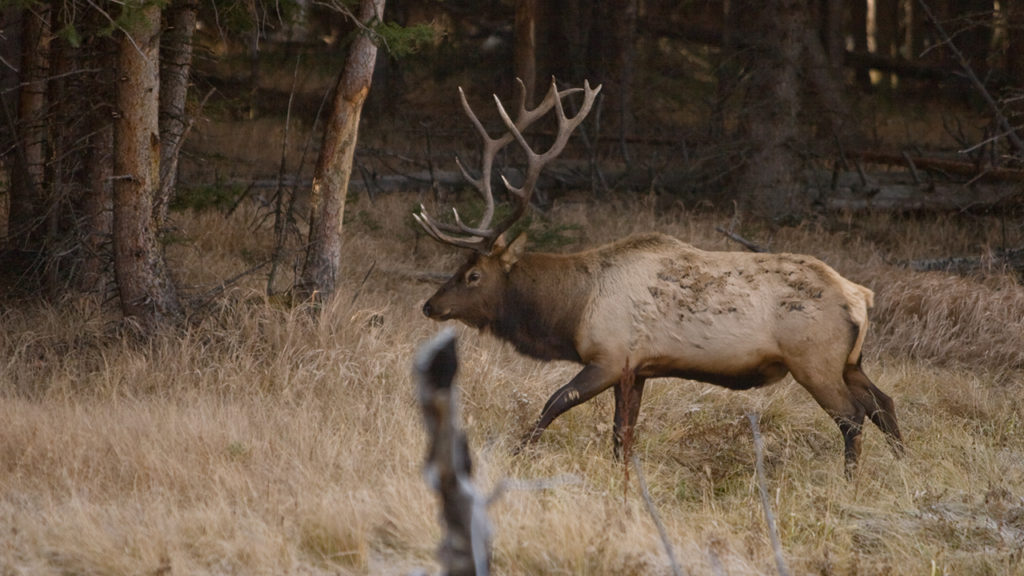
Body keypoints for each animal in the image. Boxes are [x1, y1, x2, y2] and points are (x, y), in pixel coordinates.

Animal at [415, 78, 905, 473]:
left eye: (473, 275)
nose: (430, 305)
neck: (571, 310)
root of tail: (860, 296)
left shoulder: (609, 356)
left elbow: (554, 404)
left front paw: (516, 455)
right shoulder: (638, 369)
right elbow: (622, 434)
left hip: (814, 360)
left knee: (852, 417)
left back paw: (851, 481)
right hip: (850, 361)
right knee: (884, 403)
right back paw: (904, 468)